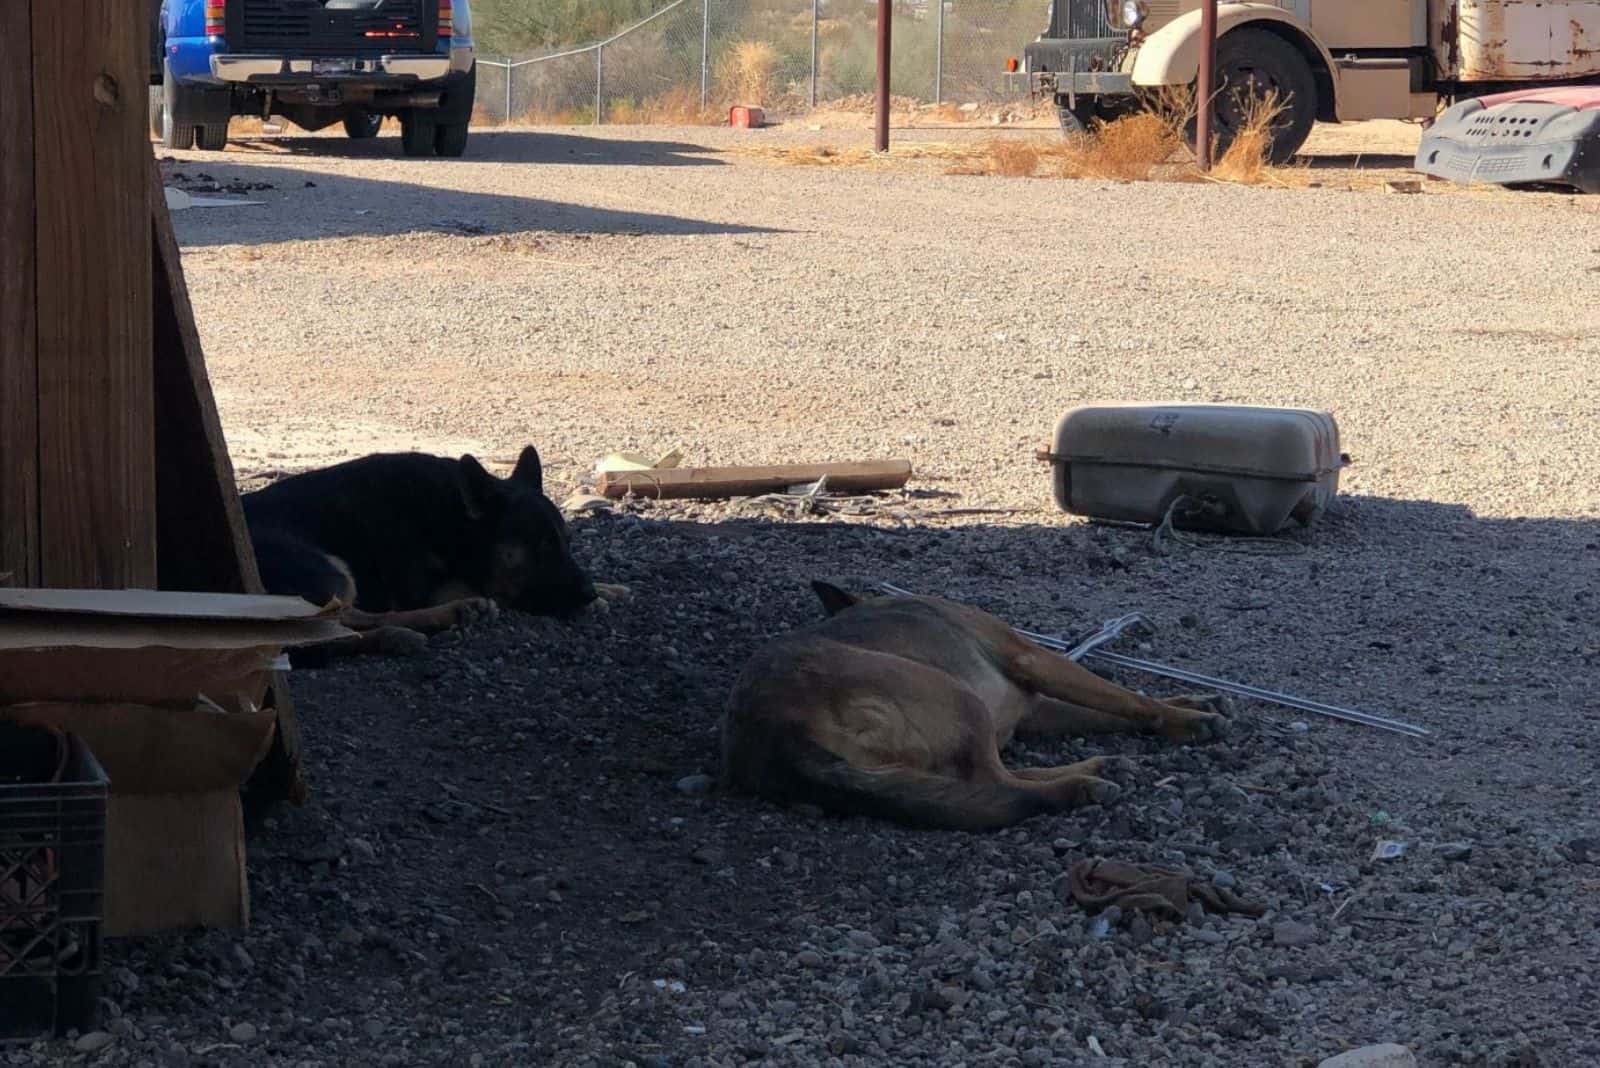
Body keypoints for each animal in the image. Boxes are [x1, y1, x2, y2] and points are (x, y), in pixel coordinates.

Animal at [243, 444, 601, 658]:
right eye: (542, 546)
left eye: (567, 541)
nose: (589, 594)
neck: (453, 515)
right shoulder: (423, 589)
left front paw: (608, 590)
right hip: (332, 574)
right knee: (324, 630)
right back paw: (417, 627)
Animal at [720, 578, 1228, 831]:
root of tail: (771, 727)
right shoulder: (1031, 659)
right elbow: (1125, 697)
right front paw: (1188, 719)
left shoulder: (1034, 708)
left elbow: (1108, 707)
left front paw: (1185, 701)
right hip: (956, 695)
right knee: (993, 781)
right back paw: (1079, 785)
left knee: (982, 782)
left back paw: (1094, 768)